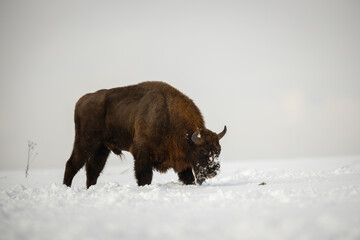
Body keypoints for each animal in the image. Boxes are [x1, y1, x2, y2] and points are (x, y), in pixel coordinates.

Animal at [62, 81, 225, 188]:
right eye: (202, 150)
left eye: (218, 150)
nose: (213, 170)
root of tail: (82, 100)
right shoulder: (142, 154)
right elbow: (144, 177)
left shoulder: (182, 163)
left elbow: (187, 177)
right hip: (86, 142)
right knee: (72, 164)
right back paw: (66, 187)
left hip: (102, 147)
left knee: (93, 169)